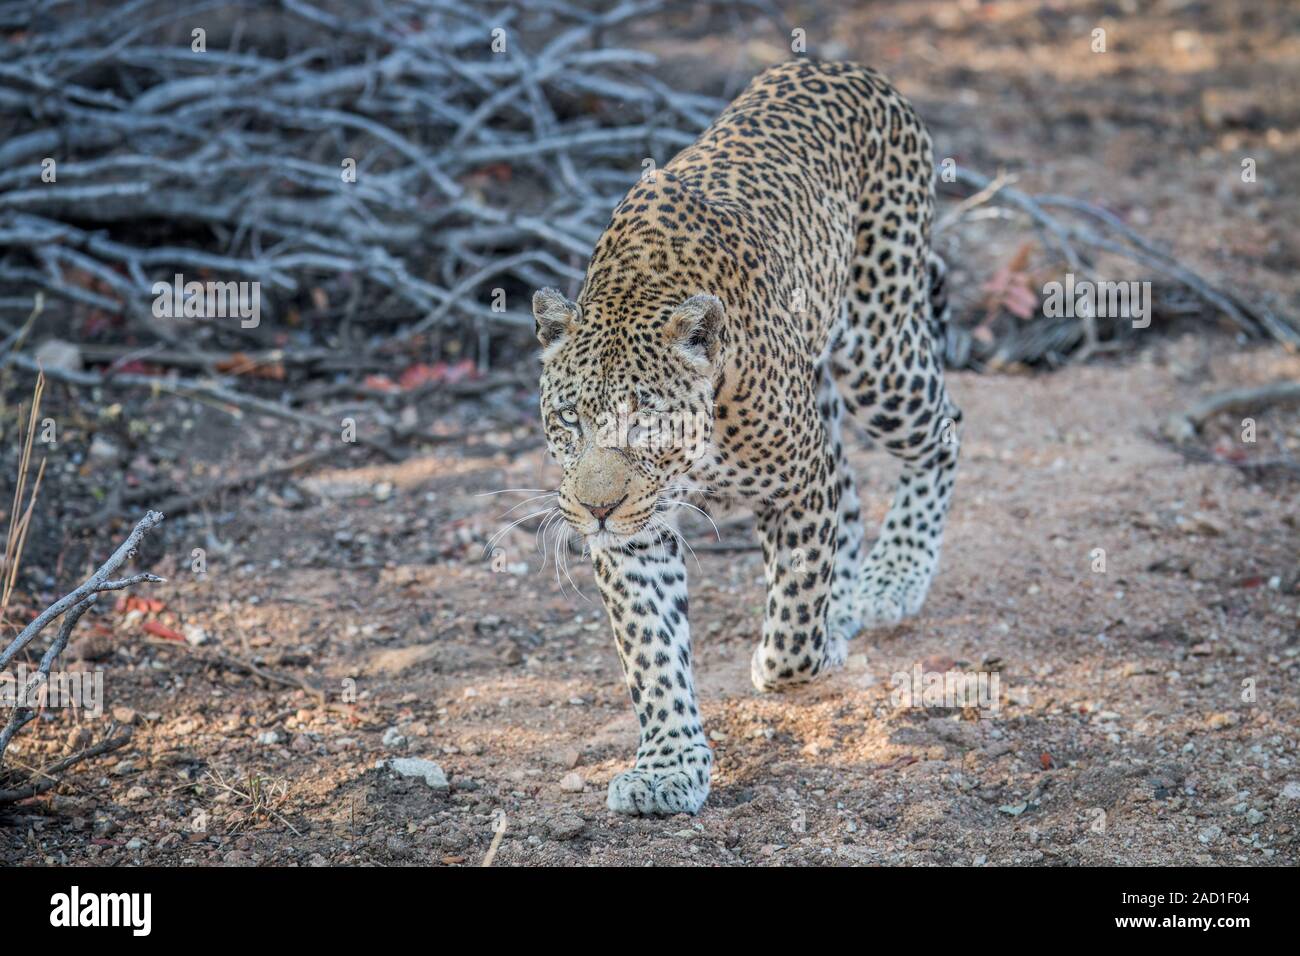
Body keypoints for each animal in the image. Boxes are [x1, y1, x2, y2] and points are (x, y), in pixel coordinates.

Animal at [530, 59, 967, 816]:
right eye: (568, 421)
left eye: (647, 419)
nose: (595, 509)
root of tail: (843, 65)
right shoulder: (637, 536)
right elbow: (653, 652)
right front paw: (668, 767)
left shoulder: (799, 480)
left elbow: (794, 617)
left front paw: (798, 655)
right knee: (857, 488)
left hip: (879, 346)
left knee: (942, 431)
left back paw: (890, 580)